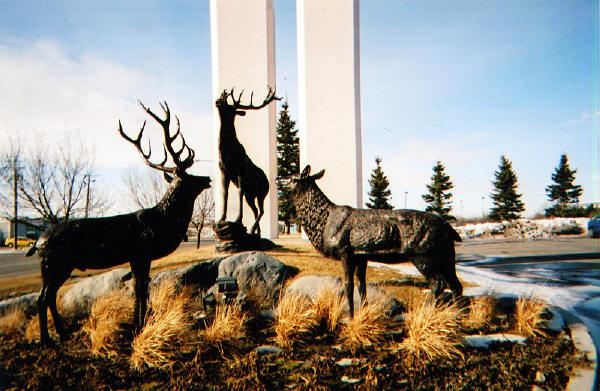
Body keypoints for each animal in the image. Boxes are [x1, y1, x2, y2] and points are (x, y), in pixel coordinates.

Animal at [27, 100, 211, 346]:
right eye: (189, 177)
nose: (207, 178)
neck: (161, 223)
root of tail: (37, 242)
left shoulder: (138, 257)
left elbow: (140, 289)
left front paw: (140, 322)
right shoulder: (141, 253)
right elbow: (140, 289)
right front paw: (138, 325)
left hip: (57, 265)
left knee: (50, 296)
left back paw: (62, 333)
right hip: (55, 263)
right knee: (43, 298)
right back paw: (47, 340)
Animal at [216, 88, 282, 236]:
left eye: (229, 108)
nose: (217, 101)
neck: (227, 154)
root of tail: (268, 181)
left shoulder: (241, 169)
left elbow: (239, 191)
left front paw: (238, 220)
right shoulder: (224, 171)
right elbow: (224, 193)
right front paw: (221, 219)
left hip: (262, 193)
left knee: (261, 210)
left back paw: (252, 229)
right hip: (250, 195)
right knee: (256, 210)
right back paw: (257, 233)